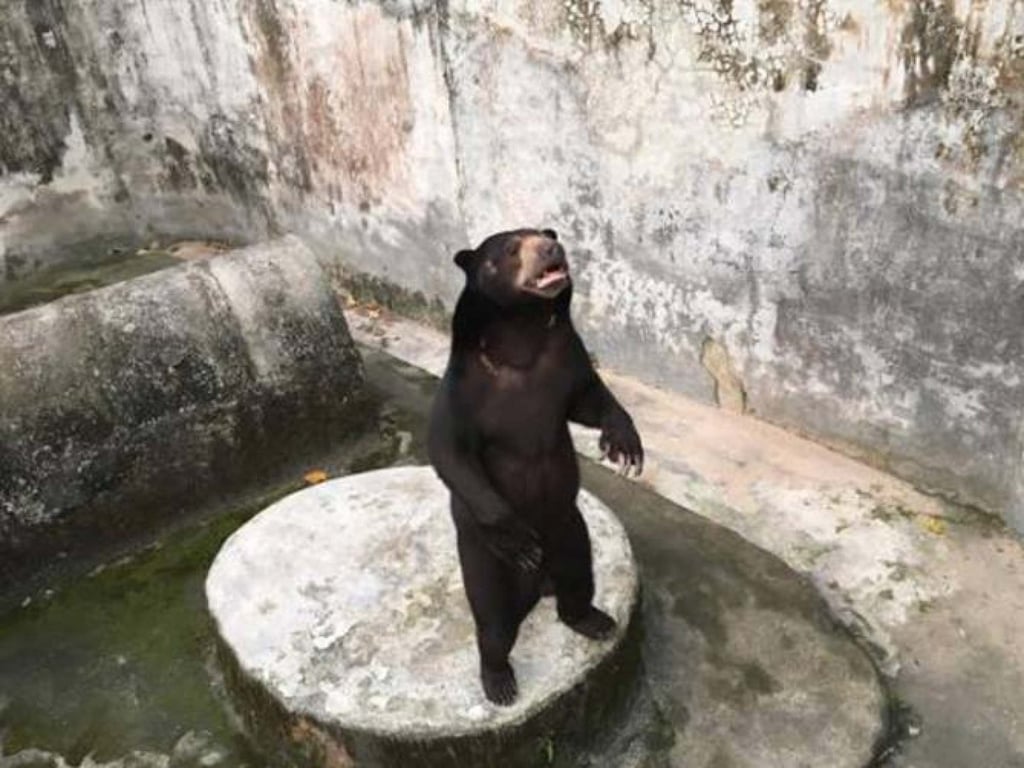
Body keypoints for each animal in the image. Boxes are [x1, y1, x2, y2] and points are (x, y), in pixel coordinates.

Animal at [427, 227, 644, 706]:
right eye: (511, 249)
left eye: (546, 231)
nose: (551, 248)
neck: (520, 332)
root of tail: (539, 585)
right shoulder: (463, 387)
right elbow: (449, 450)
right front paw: (517, 535)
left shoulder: (565, 359)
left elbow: (590, 399)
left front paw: (625, 446)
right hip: (483, 561)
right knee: (493, 625)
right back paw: (499, 681)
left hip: (572, 534)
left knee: (578, 583)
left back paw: (594, 620)